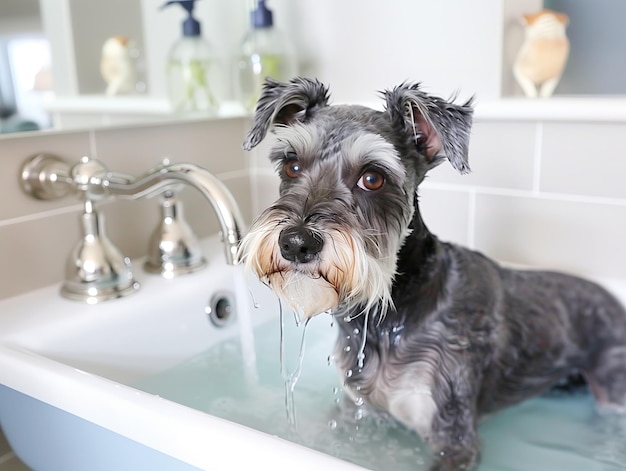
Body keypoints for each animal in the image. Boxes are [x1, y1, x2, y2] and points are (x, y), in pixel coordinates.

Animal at [236, 78, 624, 471]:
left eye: (372, 178)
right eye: (292, 165)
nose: (297, 243)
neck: (391, 313)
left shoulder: (453, 435)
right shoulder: (356, 410)